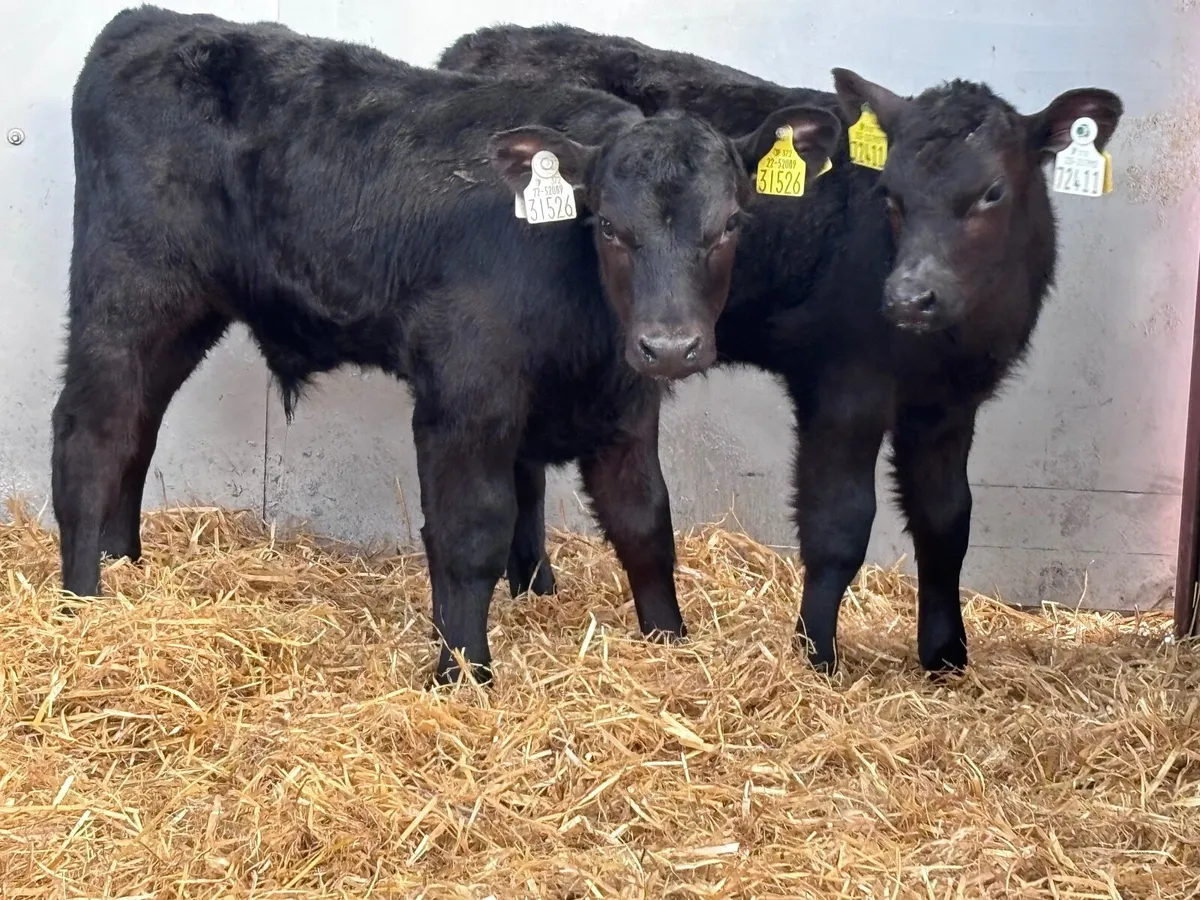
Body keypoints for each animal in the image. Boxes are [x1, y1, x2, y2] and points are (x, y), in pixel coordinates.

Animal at [52, 8, 843, 684]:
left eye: (732, 223)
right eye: (610, 227)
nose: (670, 345)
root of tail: (146, 22)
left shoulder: (625, 403)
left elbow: (646, 522)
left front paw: (669, 643)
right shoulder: (466, 398)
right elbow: (472, 533)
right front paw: (464, 672)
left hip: (184, 315)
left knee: (138, 425)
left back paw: (126, 566)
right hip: (125, 289)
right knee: (91, 433)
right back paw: (83, 601)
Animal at [440, 23, 1125, 676]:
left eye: (992, 193)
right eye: (890, 194)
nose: (909, 297)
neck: (950, 341)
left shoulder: (952, 404)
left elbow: (946, 520)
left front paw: (946, 656)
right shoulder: (844, 384)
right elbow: (838, 522)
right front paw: (816, 655)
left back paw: (535, 589)